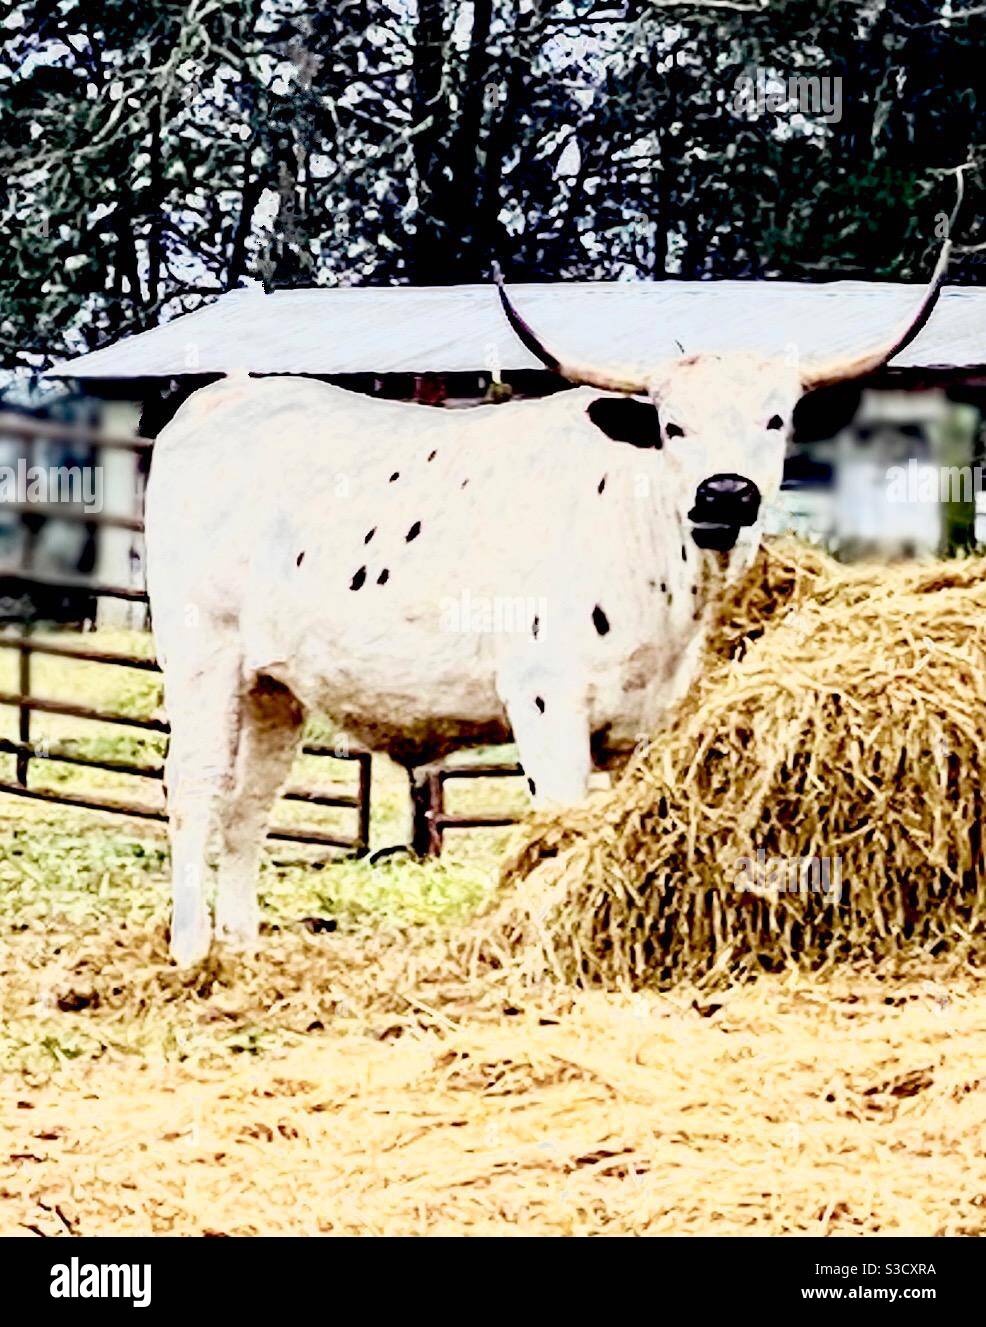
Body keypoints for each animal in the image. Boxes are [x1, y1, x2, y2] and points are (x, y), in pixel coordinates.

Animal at [144, 246, 950, 966]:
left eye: (776, 420)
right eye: (672, 426)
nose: (726, 494)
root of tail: (223, 397)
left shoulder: (643, 728)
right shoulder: (547, 702)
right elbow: (559, 822)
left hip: (273, 688)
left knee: (249, 807)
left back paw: (244, 950)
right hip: (202, 660)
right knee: (195, 789)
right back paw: (191, 953)